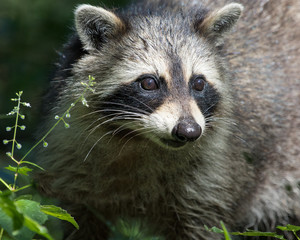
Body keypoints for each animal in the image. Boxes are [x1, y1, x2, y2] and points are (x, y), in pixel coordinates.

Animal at [36, 0, 300, 239]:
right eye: (149, 83)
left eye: (199, 83)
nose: (189, 130)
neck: (137, 139)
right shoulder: (74, 166)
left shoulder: (214, 176)